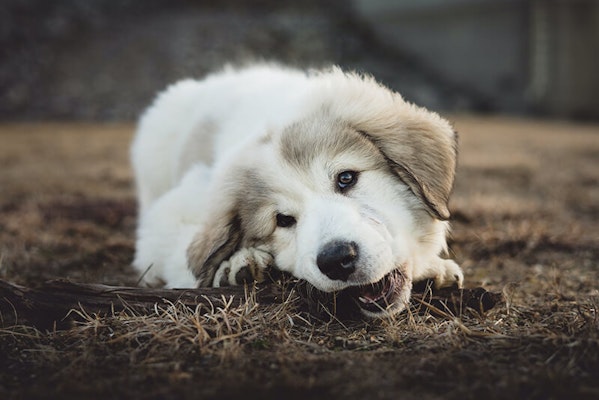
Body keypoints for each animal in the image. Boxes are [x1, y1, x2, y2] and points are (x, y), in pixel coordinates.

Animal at [132, 64, 464, 318]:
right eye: (283, 220)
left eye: (346, 178)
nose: (337, 259)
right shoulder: (173, 211)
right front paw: (235, 265)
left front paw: (435, 268)